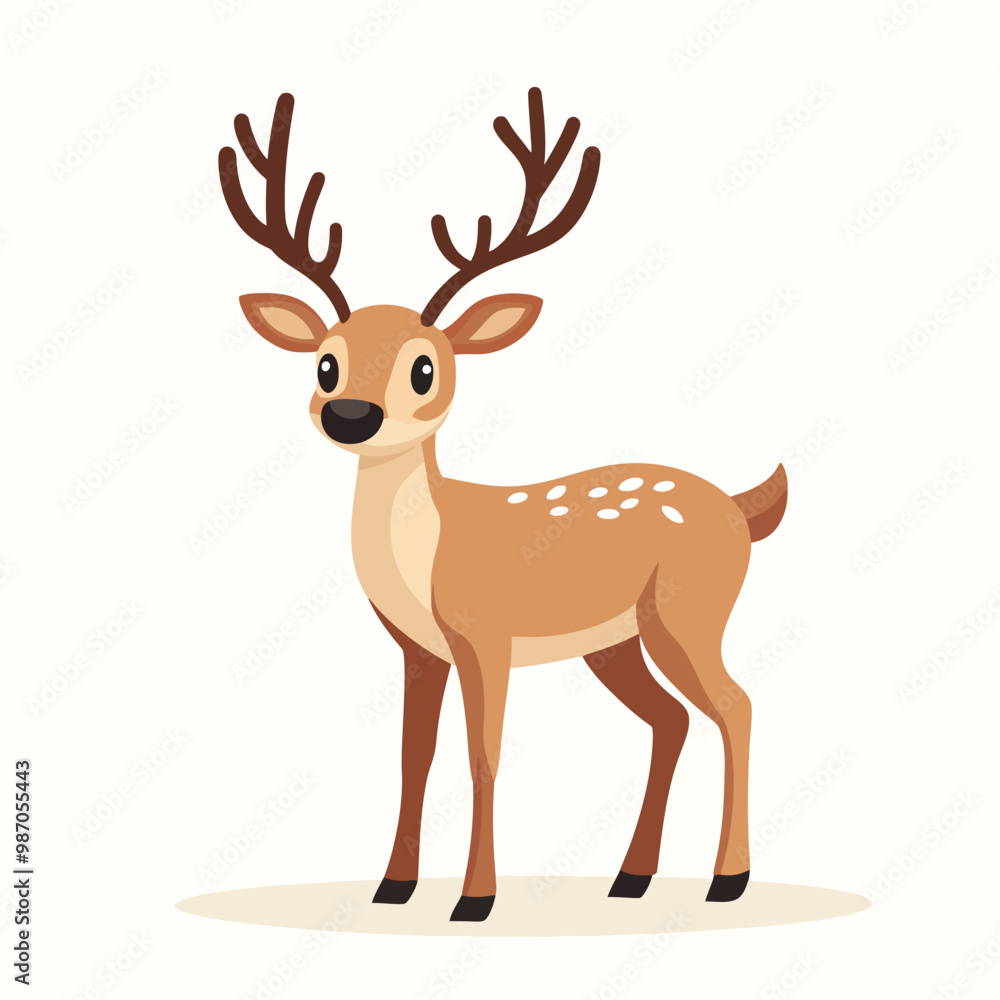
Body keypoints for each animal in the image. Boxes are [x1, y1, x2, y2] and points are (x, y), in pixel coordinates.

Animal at [218, 89, 788, 922]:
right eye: (326, 362)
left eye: (425, 368)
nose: (351, 415)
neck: (428, 551)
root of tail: (742, 507)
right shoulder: (417, 647)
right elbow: (412, 758)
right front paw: (393, 887)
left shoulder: (484, 633)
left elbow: (481, 754)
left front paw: (474, 899)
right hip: (616, 642)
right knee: (674, 718)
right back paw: (631, 878)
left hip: (689, 610)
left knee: (735, 705)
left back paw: (727, 879)